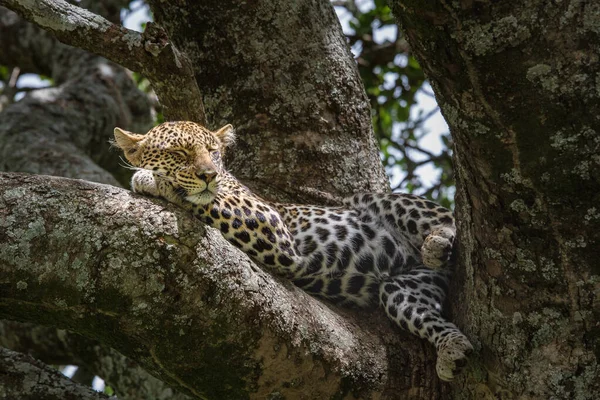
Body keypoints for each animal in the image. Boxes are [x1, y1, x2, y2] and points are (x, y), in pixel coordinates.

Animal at [113, 121, 474, 382]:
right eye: (179, 153)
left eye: (213, 152)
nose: (209, 175)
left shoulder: (268, 220)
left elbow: (205, 199)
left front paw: (150, 179)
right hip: (404, 288)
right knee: (417, 306)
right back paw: (453, 350)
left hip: (371, 201)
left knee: (445, 218)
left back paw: (437, 242)